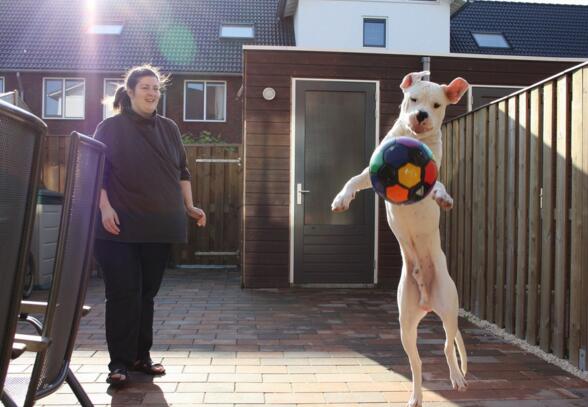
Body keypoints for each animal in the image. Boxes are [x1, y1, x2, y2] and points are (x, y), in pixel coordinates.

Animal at [331, 71, 469, 407]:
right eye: (413, 99)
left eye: (436, 105)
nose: (421, 115)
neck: (415, 142)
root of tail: (428, 301)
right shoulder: (371, 173)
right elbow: (353, 179)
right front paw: (341, 199)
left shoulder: (431, 176)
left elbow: (437, 185)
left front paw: (443, 196)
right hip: (406, 324)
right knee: (416, 363)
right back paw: (416, 395)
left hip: (449, 309)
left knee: (447, 346)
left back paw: (457, 378)